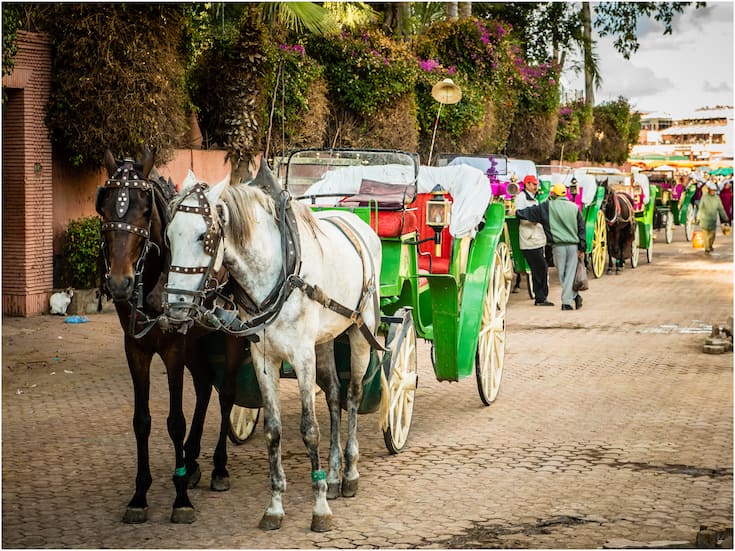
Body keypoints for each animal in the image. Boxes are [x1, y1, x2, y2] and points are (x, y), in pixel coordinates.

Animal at [93, 150, 244, 528]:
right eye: (104, 209)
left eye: (145, 210)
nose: (119, 283)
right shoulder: (135, 349)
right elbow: (141, 421)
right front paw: (140, 494)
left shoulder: (174, 348)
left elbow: (175, 421)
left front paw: (180, 501)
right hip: (198, 341)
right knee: (205, 386)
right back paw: (190, 463)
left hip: (230, 338)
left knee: (226, 395)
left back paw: (218, 467)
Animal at [165, 171, 386, 532]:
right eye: (169, 237)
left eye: (202, 236)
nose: (175, 307)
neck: (277, 272)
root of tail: (358, 223)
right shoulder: (263, 358)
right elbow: (273, 430)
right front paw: (275, 506)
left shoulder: (302, 356)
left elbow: (310, 430)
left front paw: (320, 507)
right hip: (324, 340)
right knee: (335, 396)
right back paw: (334, 473)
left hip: (360, 332)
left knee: (352, 396)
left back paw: (350, 473)